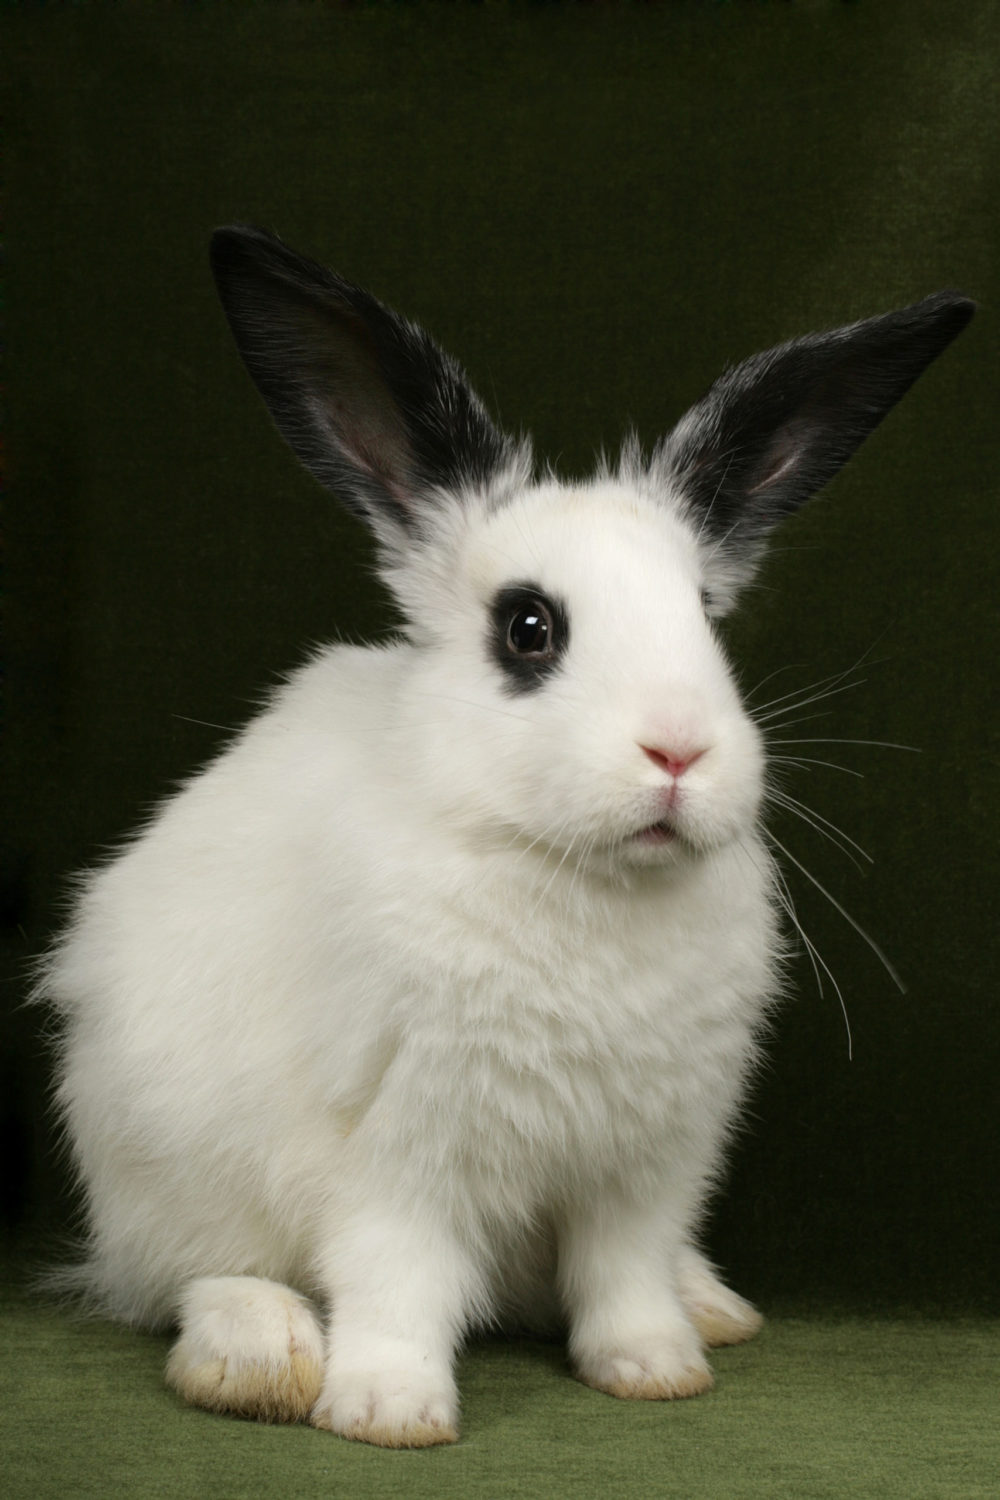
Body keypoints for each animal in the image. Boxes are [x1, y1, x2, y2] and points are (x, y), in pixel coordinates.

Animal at [38, 225, 973, 1448]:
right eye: (528, 628)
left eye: (705, 619)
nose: (678, 753)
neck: (576, 874)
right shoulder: (396, 1151)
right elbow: (397, 1279)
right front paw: (387, 1412)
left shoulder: (647, 1163)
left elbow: (623, 1272)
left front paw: (655, 1369)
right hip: (167, 1164)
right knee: (193, 1278)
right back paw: (259, 1359)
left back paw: (712, 1308)